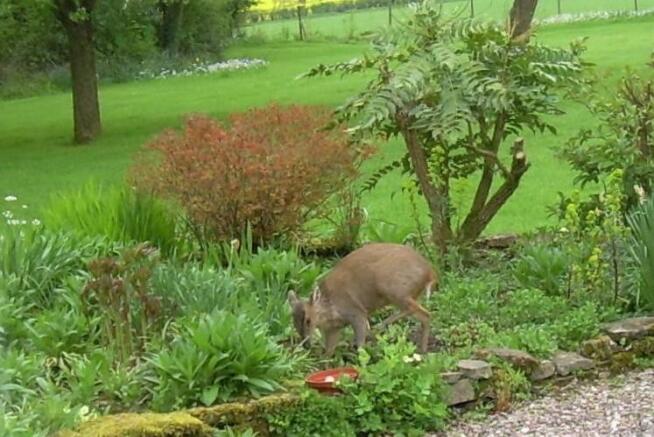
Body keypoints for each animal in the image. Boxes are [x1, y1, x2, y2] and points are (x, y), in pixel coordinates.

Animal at [287, 243, 437, 356]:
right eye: (293, 320)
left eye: (308, 320)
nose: (306, 345)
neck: (330, 310)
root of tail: (430, 272)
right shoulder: (334, 328)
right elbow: (329, 351)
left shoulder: (355, 312)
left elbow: (360, 342)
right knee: (412, 311)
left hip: (394, 289)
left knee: (425, 314)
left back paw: (422, 350)